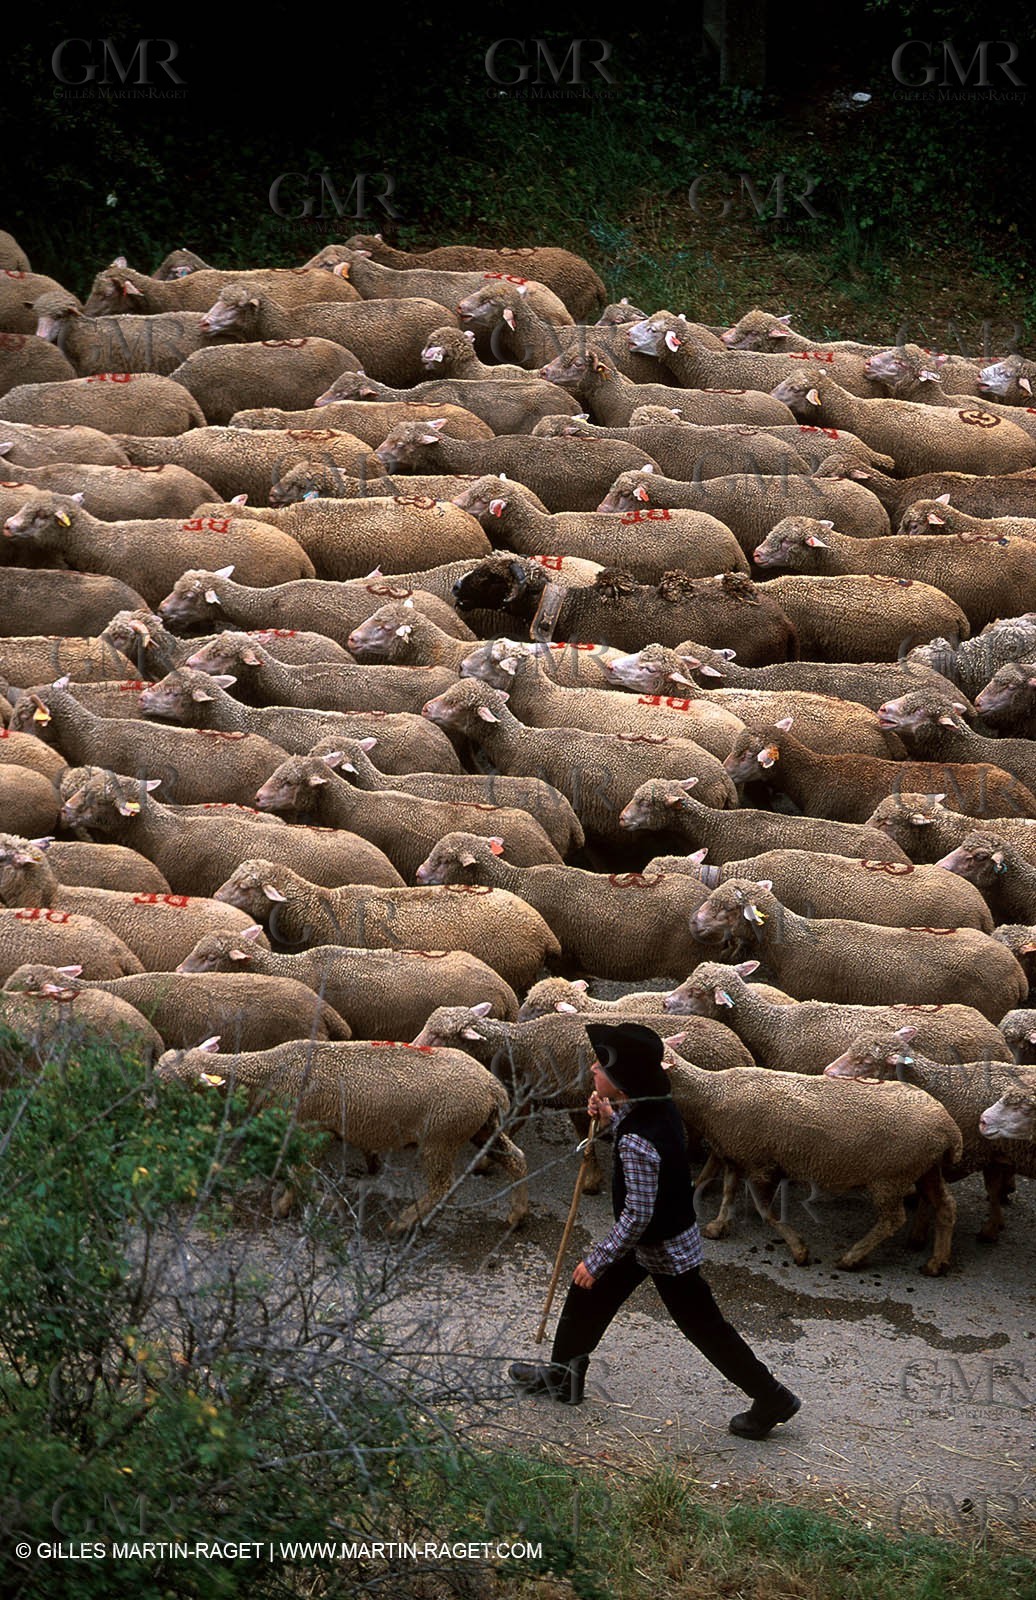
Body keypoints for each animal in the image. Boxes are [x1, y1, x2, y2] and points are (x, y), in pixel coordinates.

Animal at [154, 1035, 528, 1233]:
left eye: (171, 1081)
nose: (147, 1101)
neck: (268, 1071)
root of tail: (491, 1085)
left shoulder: (312, 1127)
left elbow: (301, 1172)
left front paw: (300, 1204)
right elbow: (294, 1169)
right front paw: (287, 1201)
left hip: (442, 1134)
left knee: (442, 1186)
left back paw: (404, 1222)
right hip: (481, 1126)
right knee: (516, 1159)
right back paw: (516, 1214)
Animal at [824, 1028, 1036, 1242]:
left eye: (867, 1061)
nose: (827, 1072)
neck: (939, 1088)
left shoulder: (957, 1154)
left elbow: (929, 1194)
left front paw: (918, 1233)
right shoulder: (988, 1154)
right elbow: (990, 1189)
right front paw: (994, 1225)